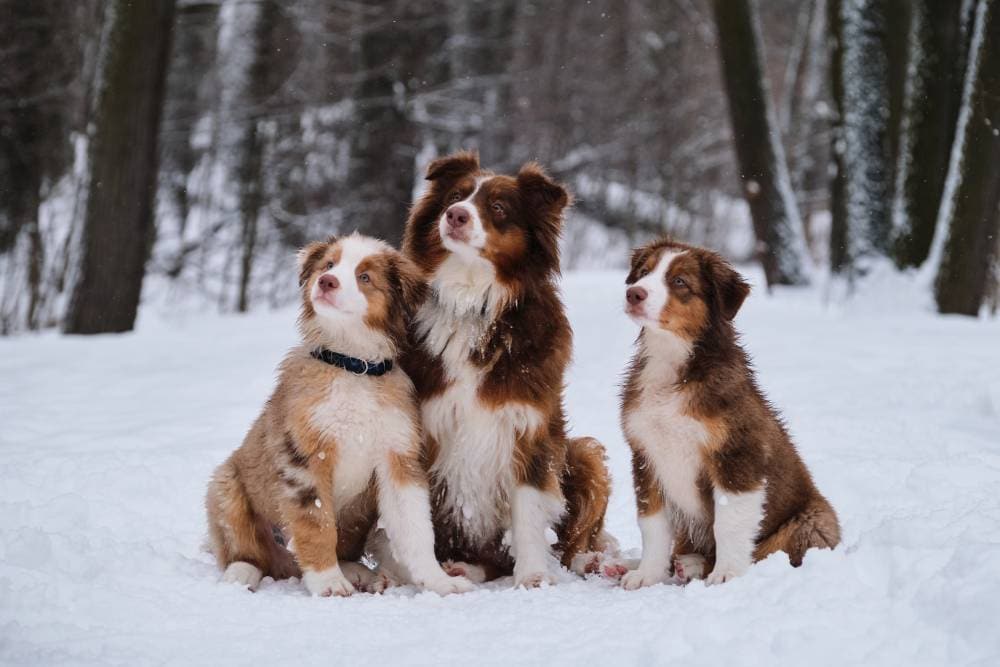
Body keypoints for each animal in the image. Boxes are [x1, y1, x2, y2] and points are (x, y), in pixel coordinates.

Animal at [205, 232, 474, 596]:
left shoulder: (398, 457)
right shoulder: (305, 458)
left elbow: (416, 529)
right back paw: (241, 574)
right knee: (247, 551)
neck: (353, 365)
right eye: (328, 265)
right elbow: (317, 524)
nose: (326, 282)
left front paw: (439, 582)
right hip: (225, 487)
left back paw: (360, 573)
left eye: (365, 277)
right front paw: (329, 584)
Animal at [620, 237, 840, 588]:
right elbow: (652, 524)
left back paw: (695, 567)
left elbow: (728, 522)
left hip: (813, 521)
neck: (673, 361)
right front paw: (646, 574)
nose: (633, 294)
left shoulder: (737, 455)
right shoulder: (646, 455)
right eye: (643, 273)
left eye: (679, 282)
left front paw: (726, 575)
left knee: (769, 550)